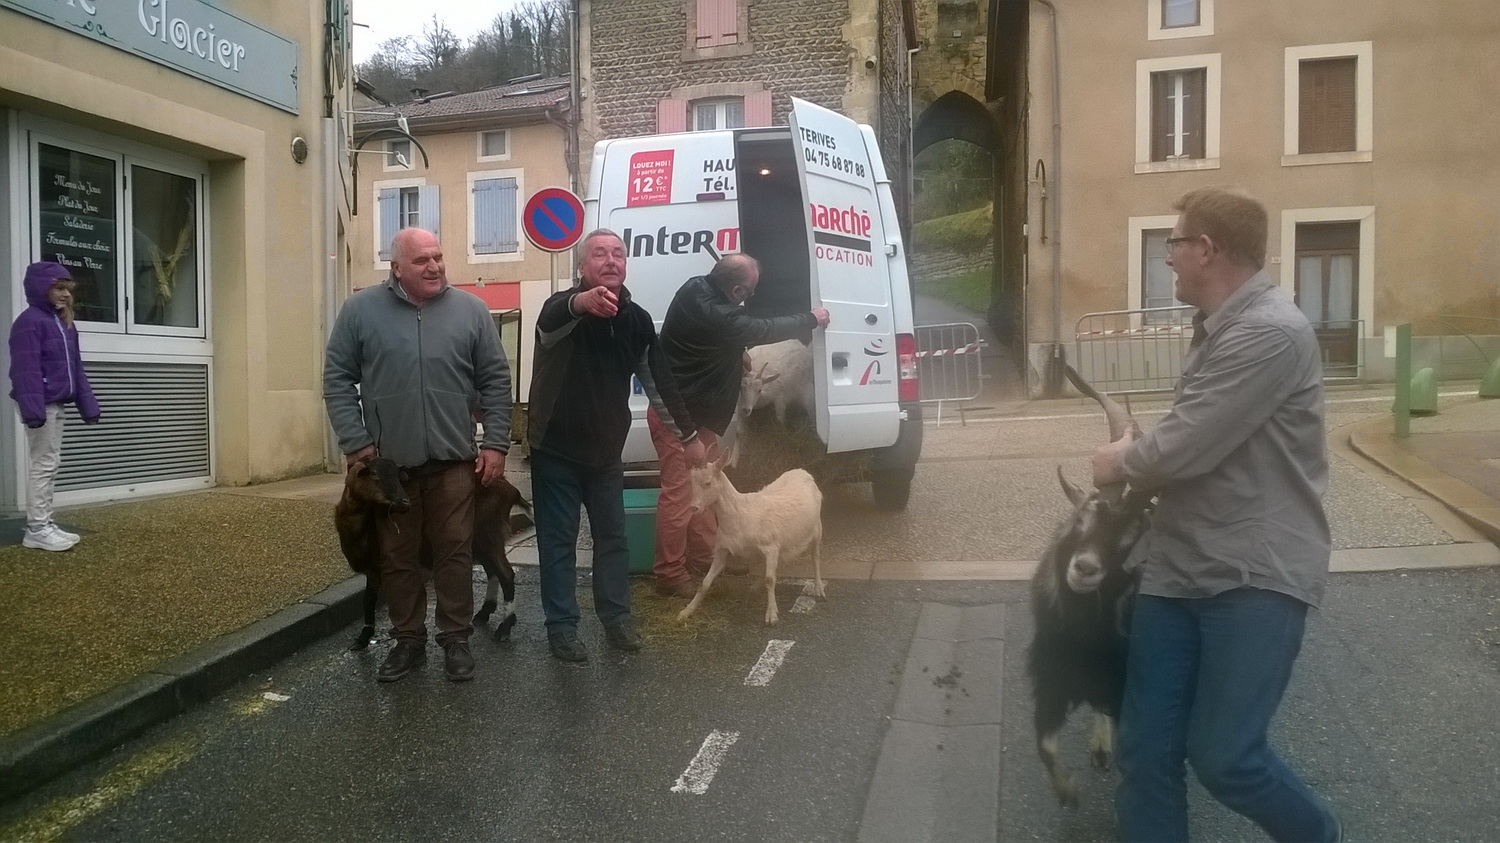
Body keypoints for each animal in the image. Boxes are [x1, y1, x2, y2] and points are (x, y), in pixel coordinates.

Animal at [678, 453, 828, 624]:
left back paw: (819, 589)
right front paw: (686, 611)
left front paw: (771, 614)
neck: (739, 513)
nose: (693, 508)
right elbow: (705, 583)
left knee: (815, 557)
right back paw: (756, 586)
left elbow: (770, 579)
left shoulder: (771, 546)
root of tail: (803, 472)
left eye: (707, 482)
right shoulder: (723, 549)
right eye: (691, 483)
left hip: (817, 529)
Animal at [1032, 364, 1146, 804]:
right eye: (1082, 520)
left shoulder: (1121, 677)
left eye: (1128, 539)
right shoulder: (1050, 678)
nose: (1084, 568)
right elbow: (1045, 745)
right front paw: (1068, 792)